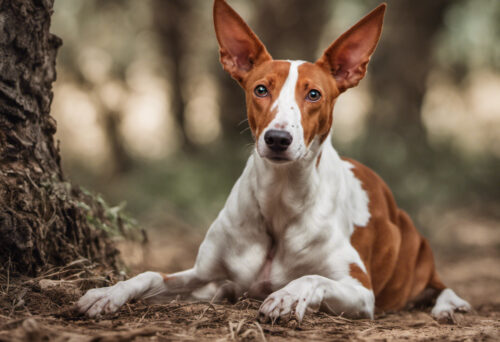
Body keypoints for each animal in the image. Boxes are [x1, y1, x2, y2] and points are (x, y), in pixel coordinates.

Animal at [76, 0, 470, 322]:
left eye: (314, 95)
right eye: (261, 89)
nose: (278, 139)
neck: (280, 200)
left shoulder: (360, 291)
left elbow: (311, 277)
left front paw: (287, 296)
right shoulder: (207, 279)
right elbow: (149, 274)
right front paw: (107, 293)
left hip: (417, 252)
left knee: (440, 285)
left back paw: (449, 306)